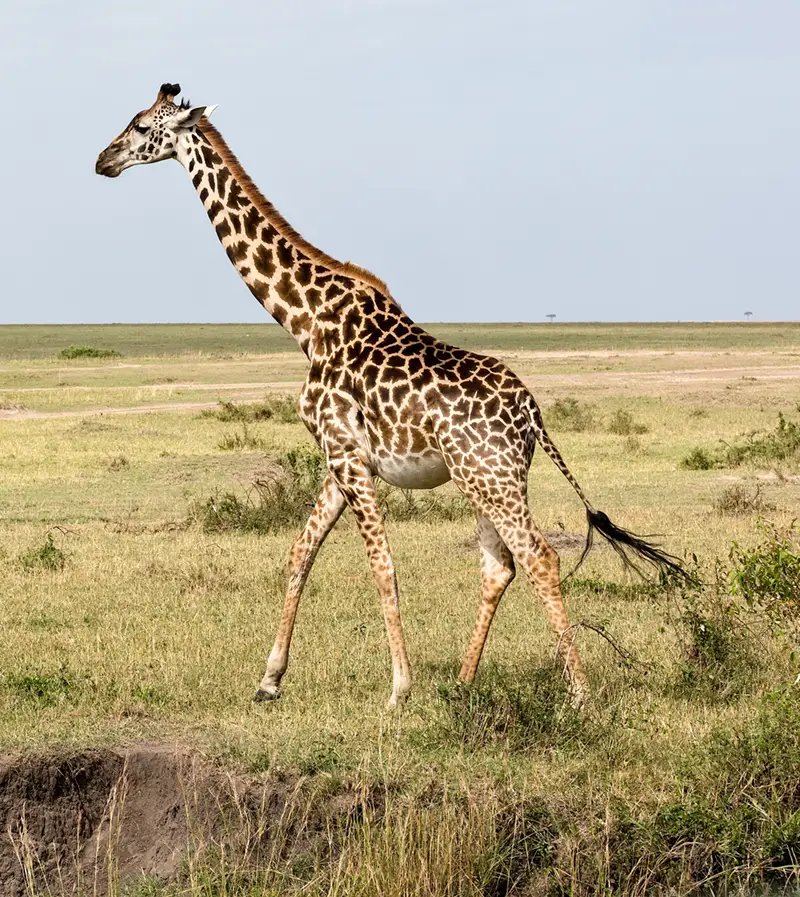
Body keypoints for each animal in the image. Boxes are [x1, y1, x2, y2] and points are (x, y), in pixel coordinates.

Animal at [96, 84, 687, 708]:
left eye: (141, 126)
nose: (103, 160)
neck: (306, 321)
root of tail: (533, 415)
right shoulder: (341, 457)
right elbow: (300, 552)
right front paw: (269, 679)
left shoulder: (346, 456)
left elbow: (382, 564)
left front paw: (399, 687)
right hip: (488, 477)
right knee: (499, 565)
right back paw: (463, 683)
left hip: (489, 477)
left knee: (538, 556)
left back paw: (577, 694)